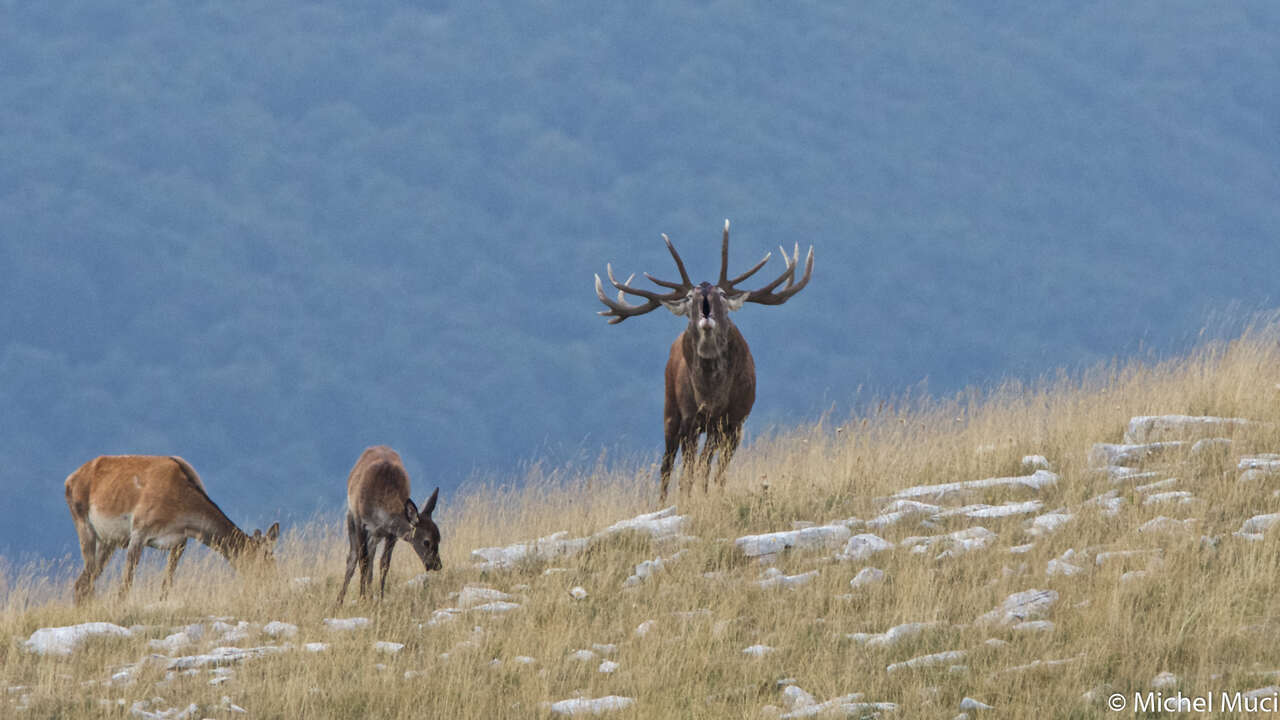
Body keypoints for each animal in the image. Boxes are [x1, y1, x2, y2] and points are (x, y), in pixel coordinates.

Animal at [64, 453, 280, 599]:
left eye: (273, 557)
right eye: (264, 559)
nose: (274, 584)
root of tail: (69, 480)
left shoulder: (180, 540)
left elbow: (166, 585)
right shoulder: (139, 531)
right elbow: (126, 585)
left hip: (109, 540)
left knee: (84, 580)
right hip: (83, 525)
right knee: (86, 581)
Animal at [335, 445, 445, 602]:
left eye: (439, 539)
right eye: (426, 541)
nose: (437, 565)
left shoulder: (392, 534)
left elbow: (384, 563)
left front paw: (380, 598)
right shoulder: (360, 522)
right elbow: (362, 560)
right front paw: (362, 598)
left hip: (375, 535)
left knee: (372, 556)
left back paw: (370, 594)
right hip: (351, 517)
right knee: (353, 557)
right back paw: (340, 600)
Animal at [596, 219, 814, 499]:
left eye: (722, 294)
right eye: (690, 296)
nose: (705, 304)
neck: (711, 396)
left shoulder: (735, 421)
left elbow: (716, 469)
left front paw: (714, 495)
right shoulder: (691, 417)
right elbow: (689, 469)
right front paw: (689, 497)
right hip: (670, 408)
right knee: (667, 463)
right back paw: (662, 500)